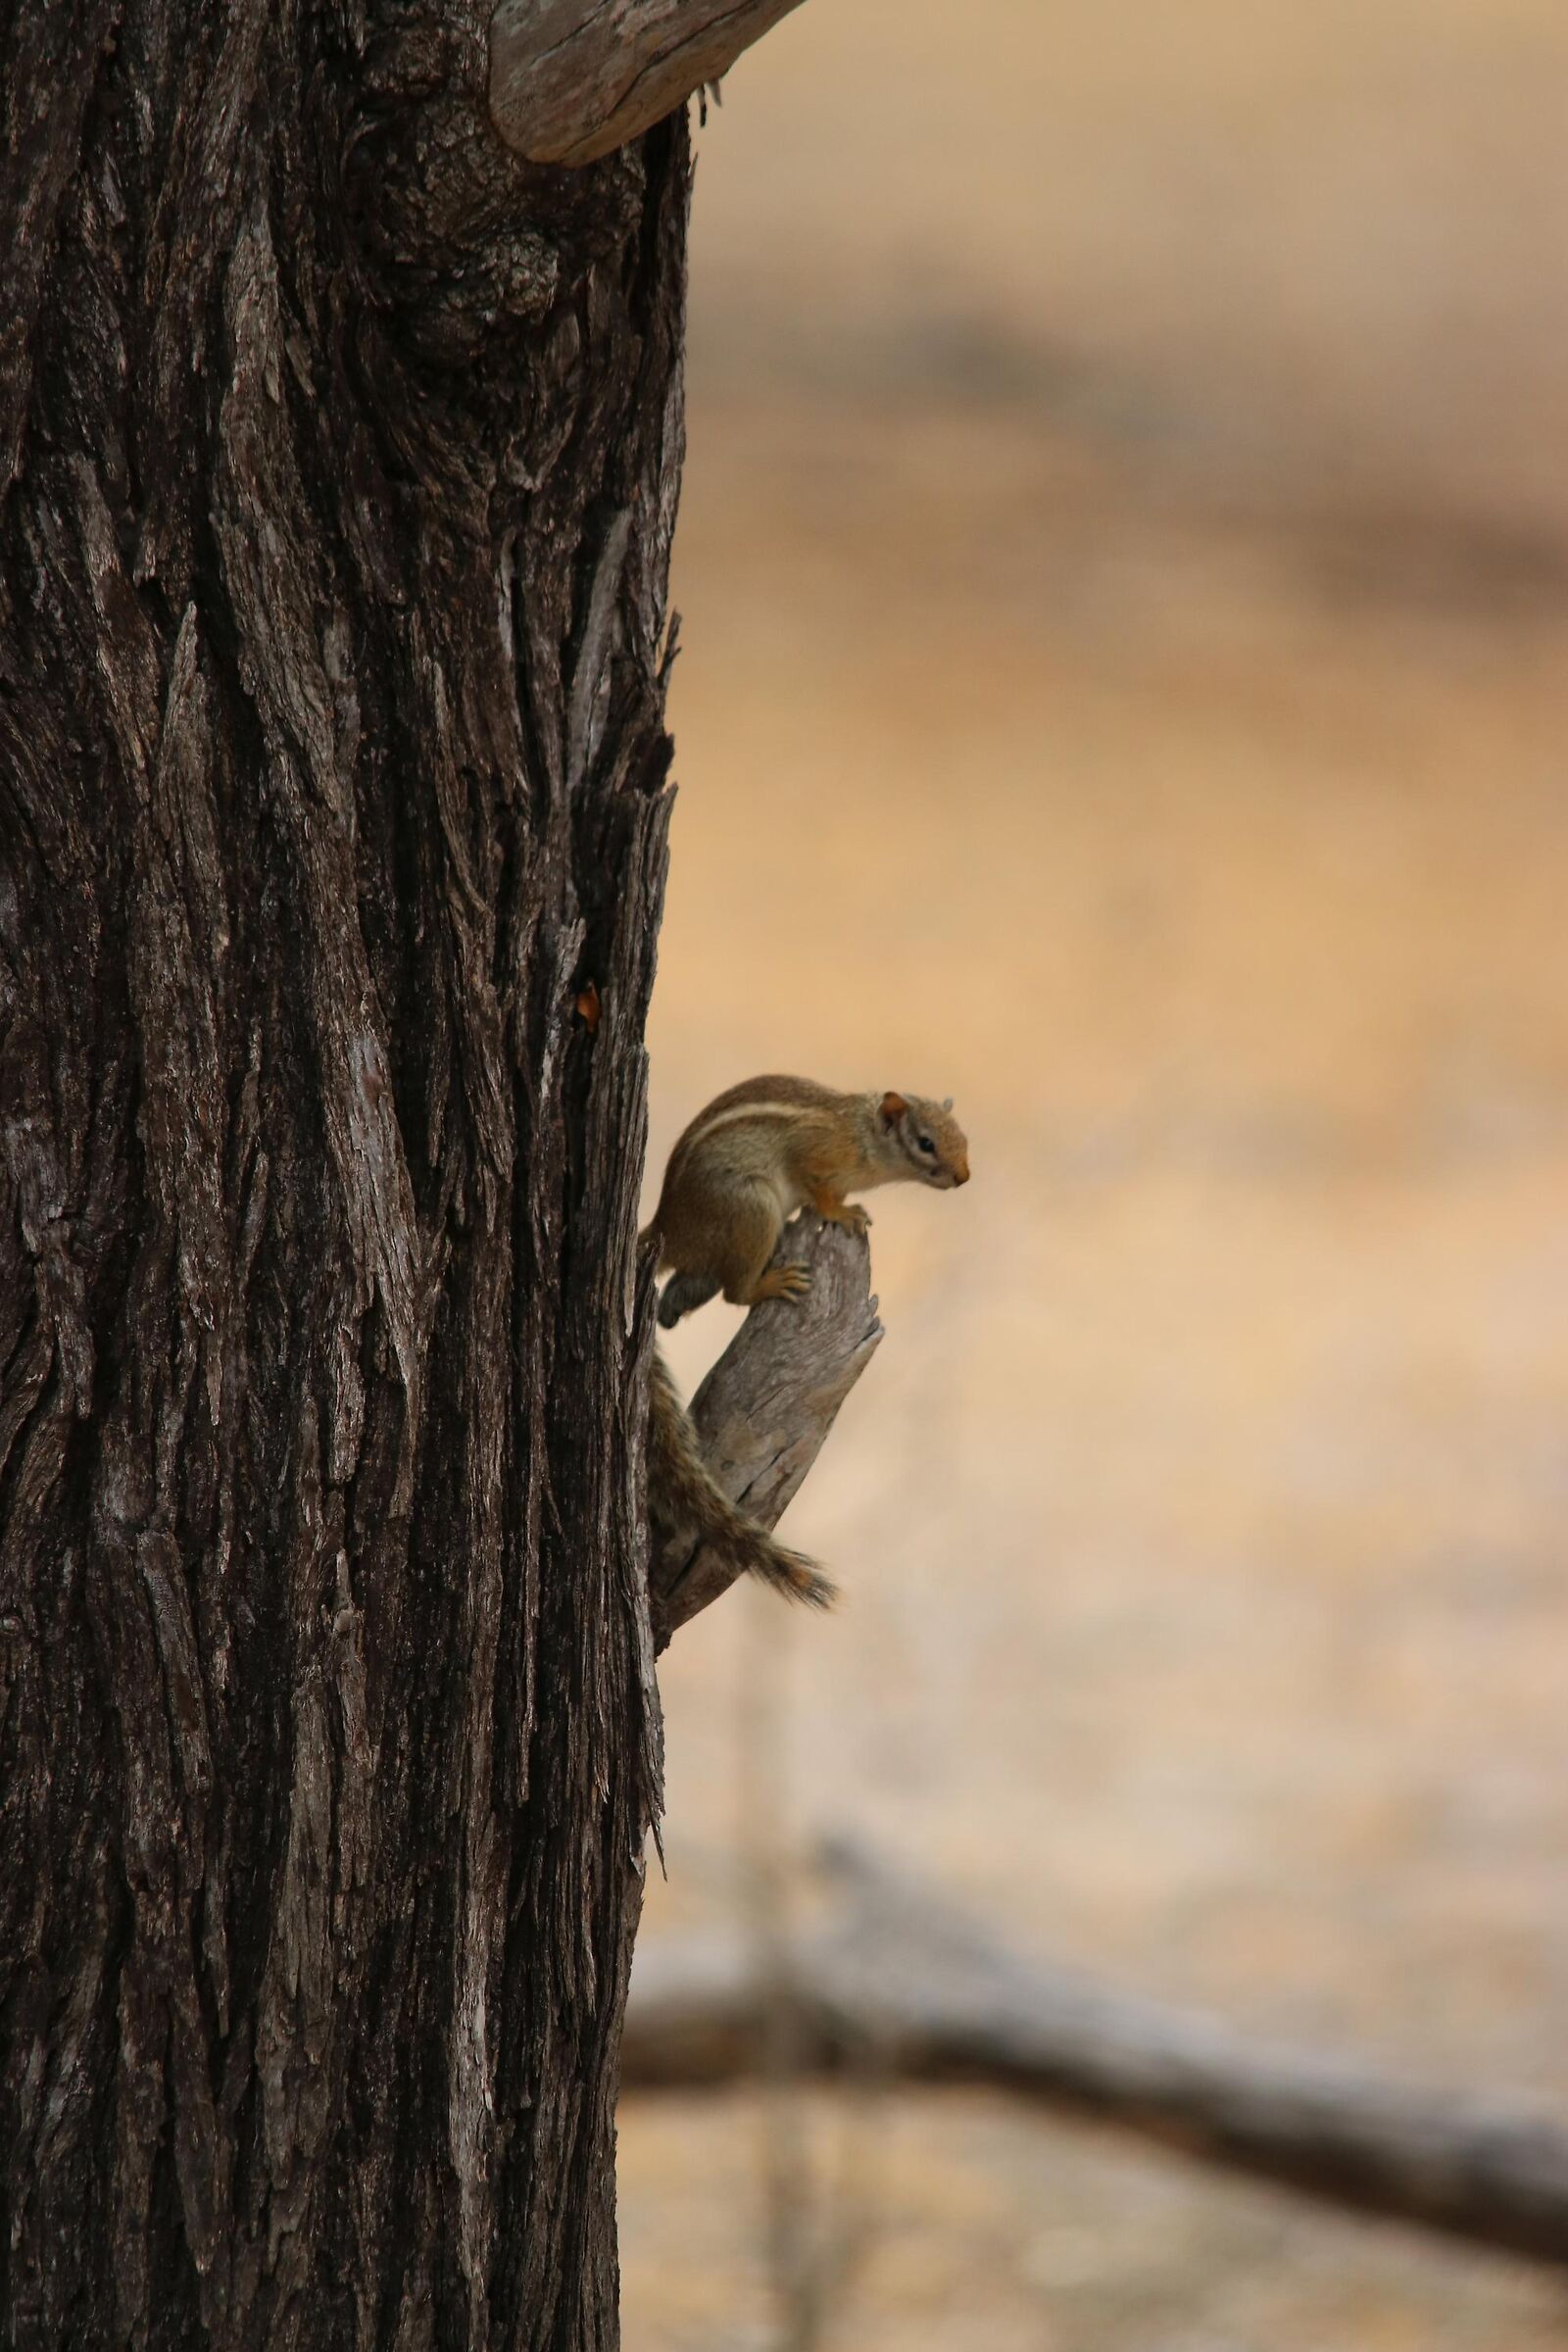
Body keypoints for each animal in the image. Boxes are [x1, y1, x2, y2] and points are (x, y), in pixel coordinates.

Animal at [642, 1076, 970, 1609]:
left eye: (963, 1137)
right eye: (926, 1143)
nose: (963, 1177)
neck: (860, 1134)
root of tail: (669, 1229)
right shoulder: (815, 1157)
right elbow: (819, 1189)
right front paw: (844, 1212)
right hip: (751, 1209)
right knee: (735, 1291)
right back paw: (770, 1284)